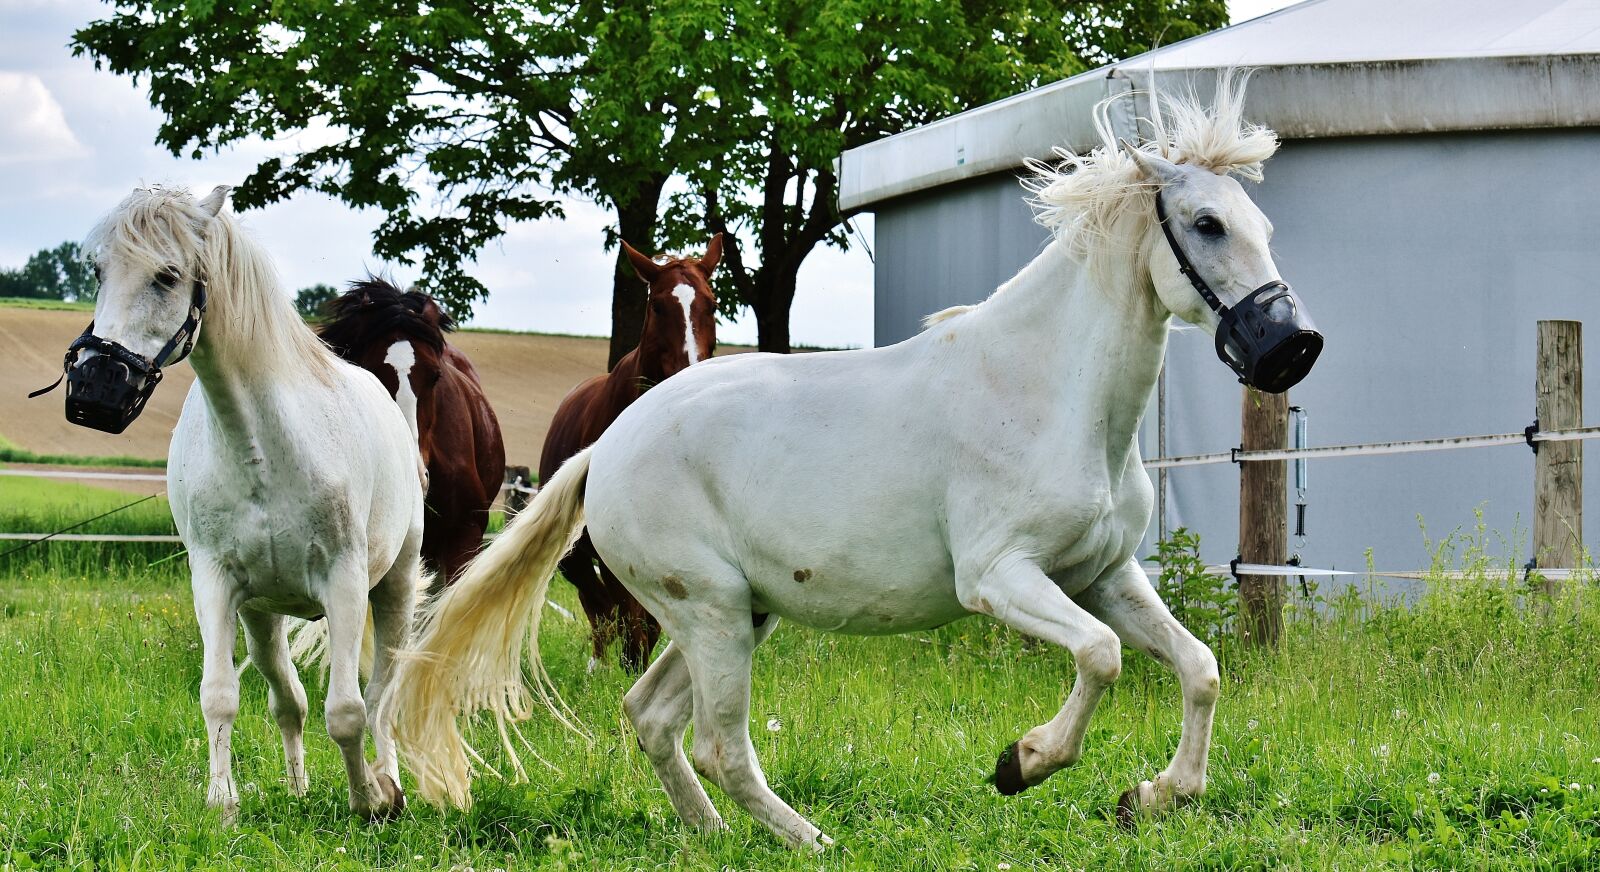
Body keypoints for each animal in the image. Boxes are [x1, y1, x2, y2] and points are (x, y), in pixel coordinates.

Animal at [51, 185, 425, 823]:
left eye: (167, 275)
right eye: (99, 271)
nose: (96, 389)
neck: (261, 450)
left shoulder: (346, 583)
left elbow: (348, 711)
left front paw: (368, 801)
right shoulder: (215, 582)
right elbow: (221, 696)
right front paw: (222, 805)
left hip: (392, 587)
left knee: (381, 696)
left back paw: (389, 782)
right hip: (262, 615)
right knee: (289, 700)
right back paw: (299, 788)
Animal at [539, 236, 721, 671]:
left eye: (712, 304)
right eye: (658, 306)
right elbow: (621, 608)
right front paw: (626, 662)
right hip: (577, 555)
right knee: (597, 602)